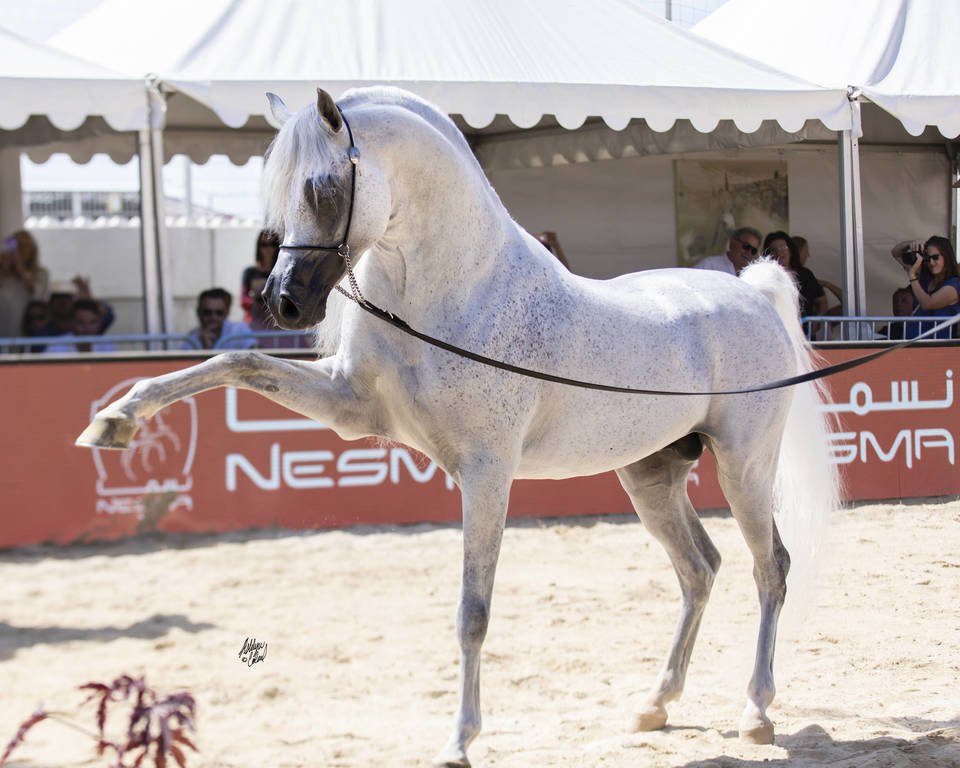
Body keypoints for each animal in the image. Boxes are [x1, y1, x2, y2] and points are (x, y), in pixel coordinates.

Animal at [76, 86, 839, 767]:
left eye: (322, 188)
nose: (284, 302)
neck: (451, 296)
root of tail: (753, 293)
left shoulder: (486, 473)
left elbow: (473, 610)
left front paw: (459, 743)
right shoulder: (352, 408)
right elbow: (235, 362)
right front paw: (115, 419)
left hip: (744, 468)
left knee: (771, 568)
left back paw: (756, 711)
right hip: (650, 475)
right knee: (699, 569)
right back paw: (655, 704)